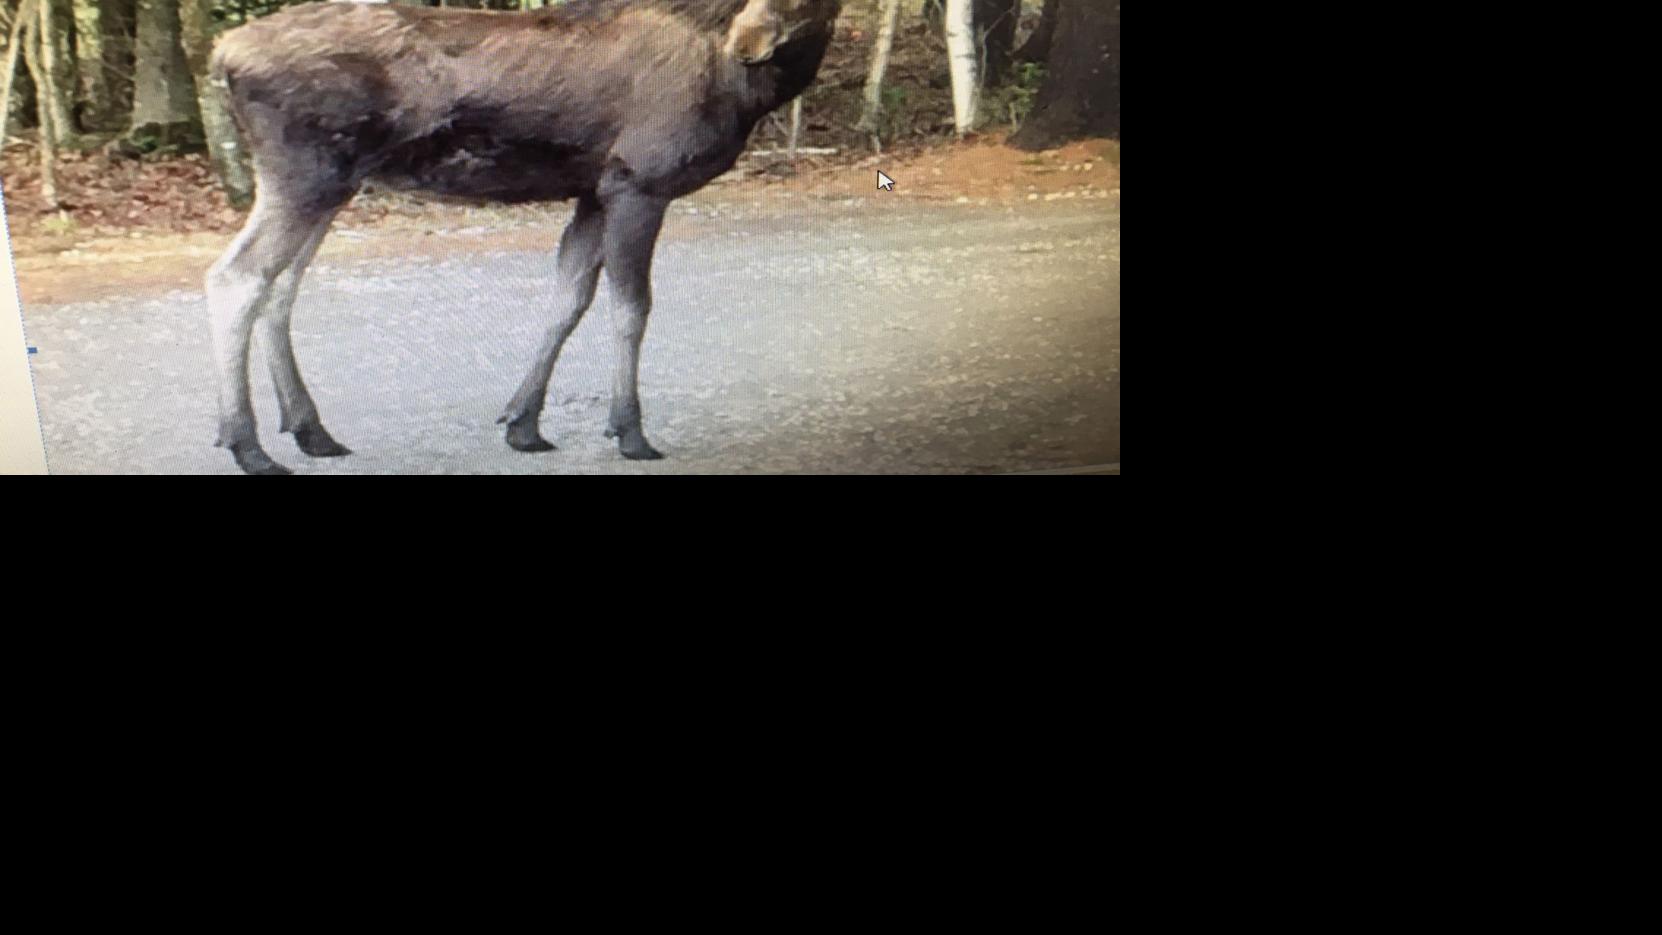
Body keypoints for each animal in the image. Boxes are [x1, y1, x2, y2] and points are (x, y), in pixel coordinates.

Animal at [205, 0, 842, 474]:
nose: (753, 40)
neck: (744, 89)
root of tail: (222, 53)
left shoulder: (593, 192)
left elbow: (569, 298)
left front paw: (524, 422)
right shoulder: (638, 182)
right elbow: (631, 308)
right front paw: (630, 431)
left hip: (331, 183)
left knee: (280, 284)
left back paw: (310, 430)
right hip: (306, 174)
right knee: (236, 276)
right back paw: (247, 445)